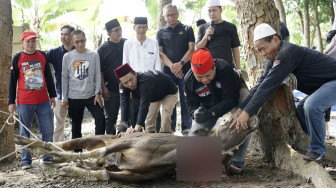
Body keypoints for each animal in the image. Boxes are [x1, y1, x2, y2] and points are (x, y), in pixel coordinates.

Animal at [13, 116, 260, 182]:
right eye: (229, 123)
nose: (253, 119)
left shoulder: (131, 176)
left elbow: (104, 173)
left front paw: (69, 169)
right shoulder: (129, 142)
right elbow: (98, 153)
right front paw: (65, 165)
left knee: (86, 159)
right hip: (97, 136)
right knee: (63, 144)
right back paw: (29, 143)